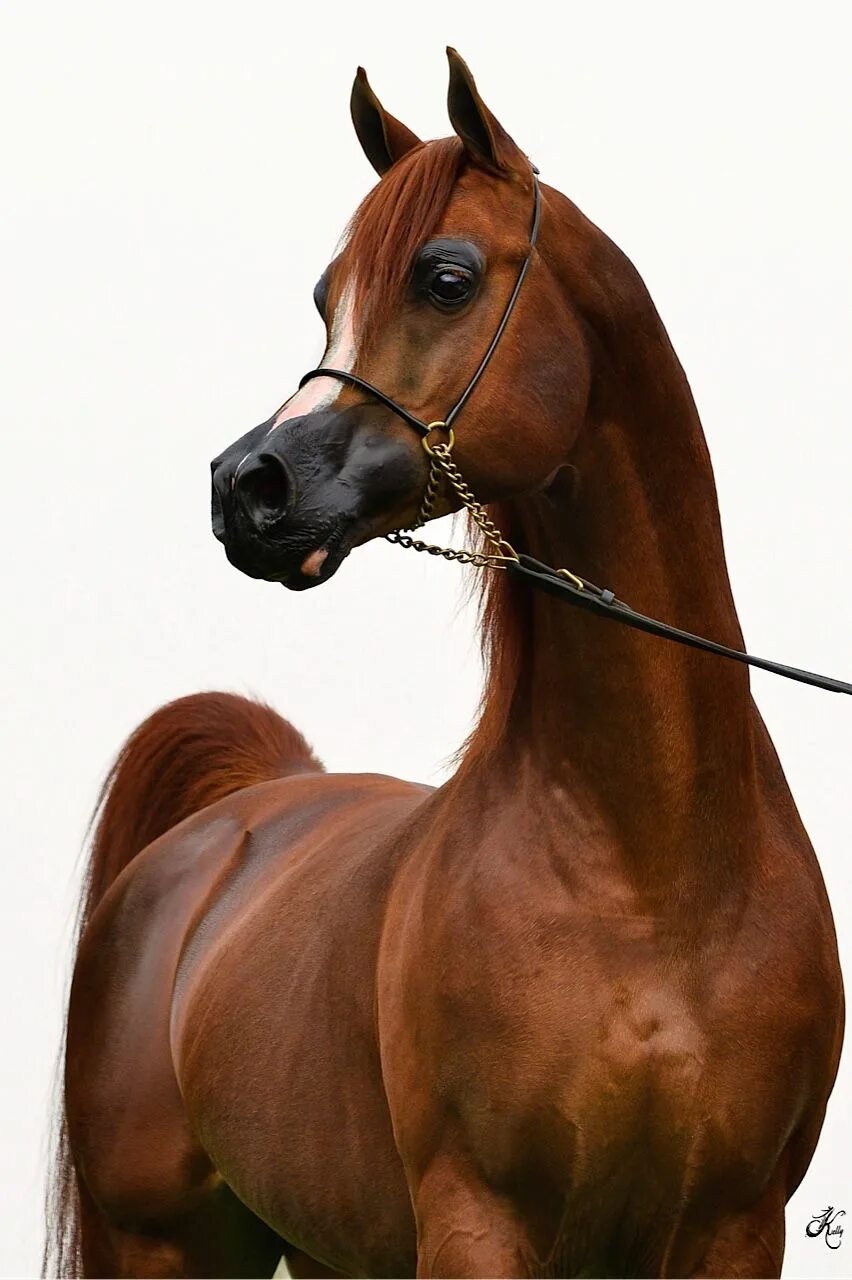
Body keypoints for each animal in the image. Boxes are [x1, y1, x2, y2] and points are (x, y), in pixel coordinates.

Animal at [49, 49, 839, 1280]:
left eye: (447, 279)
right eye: (327, 295)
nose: (246, 485)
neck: (650, 881)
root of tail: (239, 812)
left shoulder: (735, 1230)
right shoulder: (478, 1220)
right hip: (166, 1243)